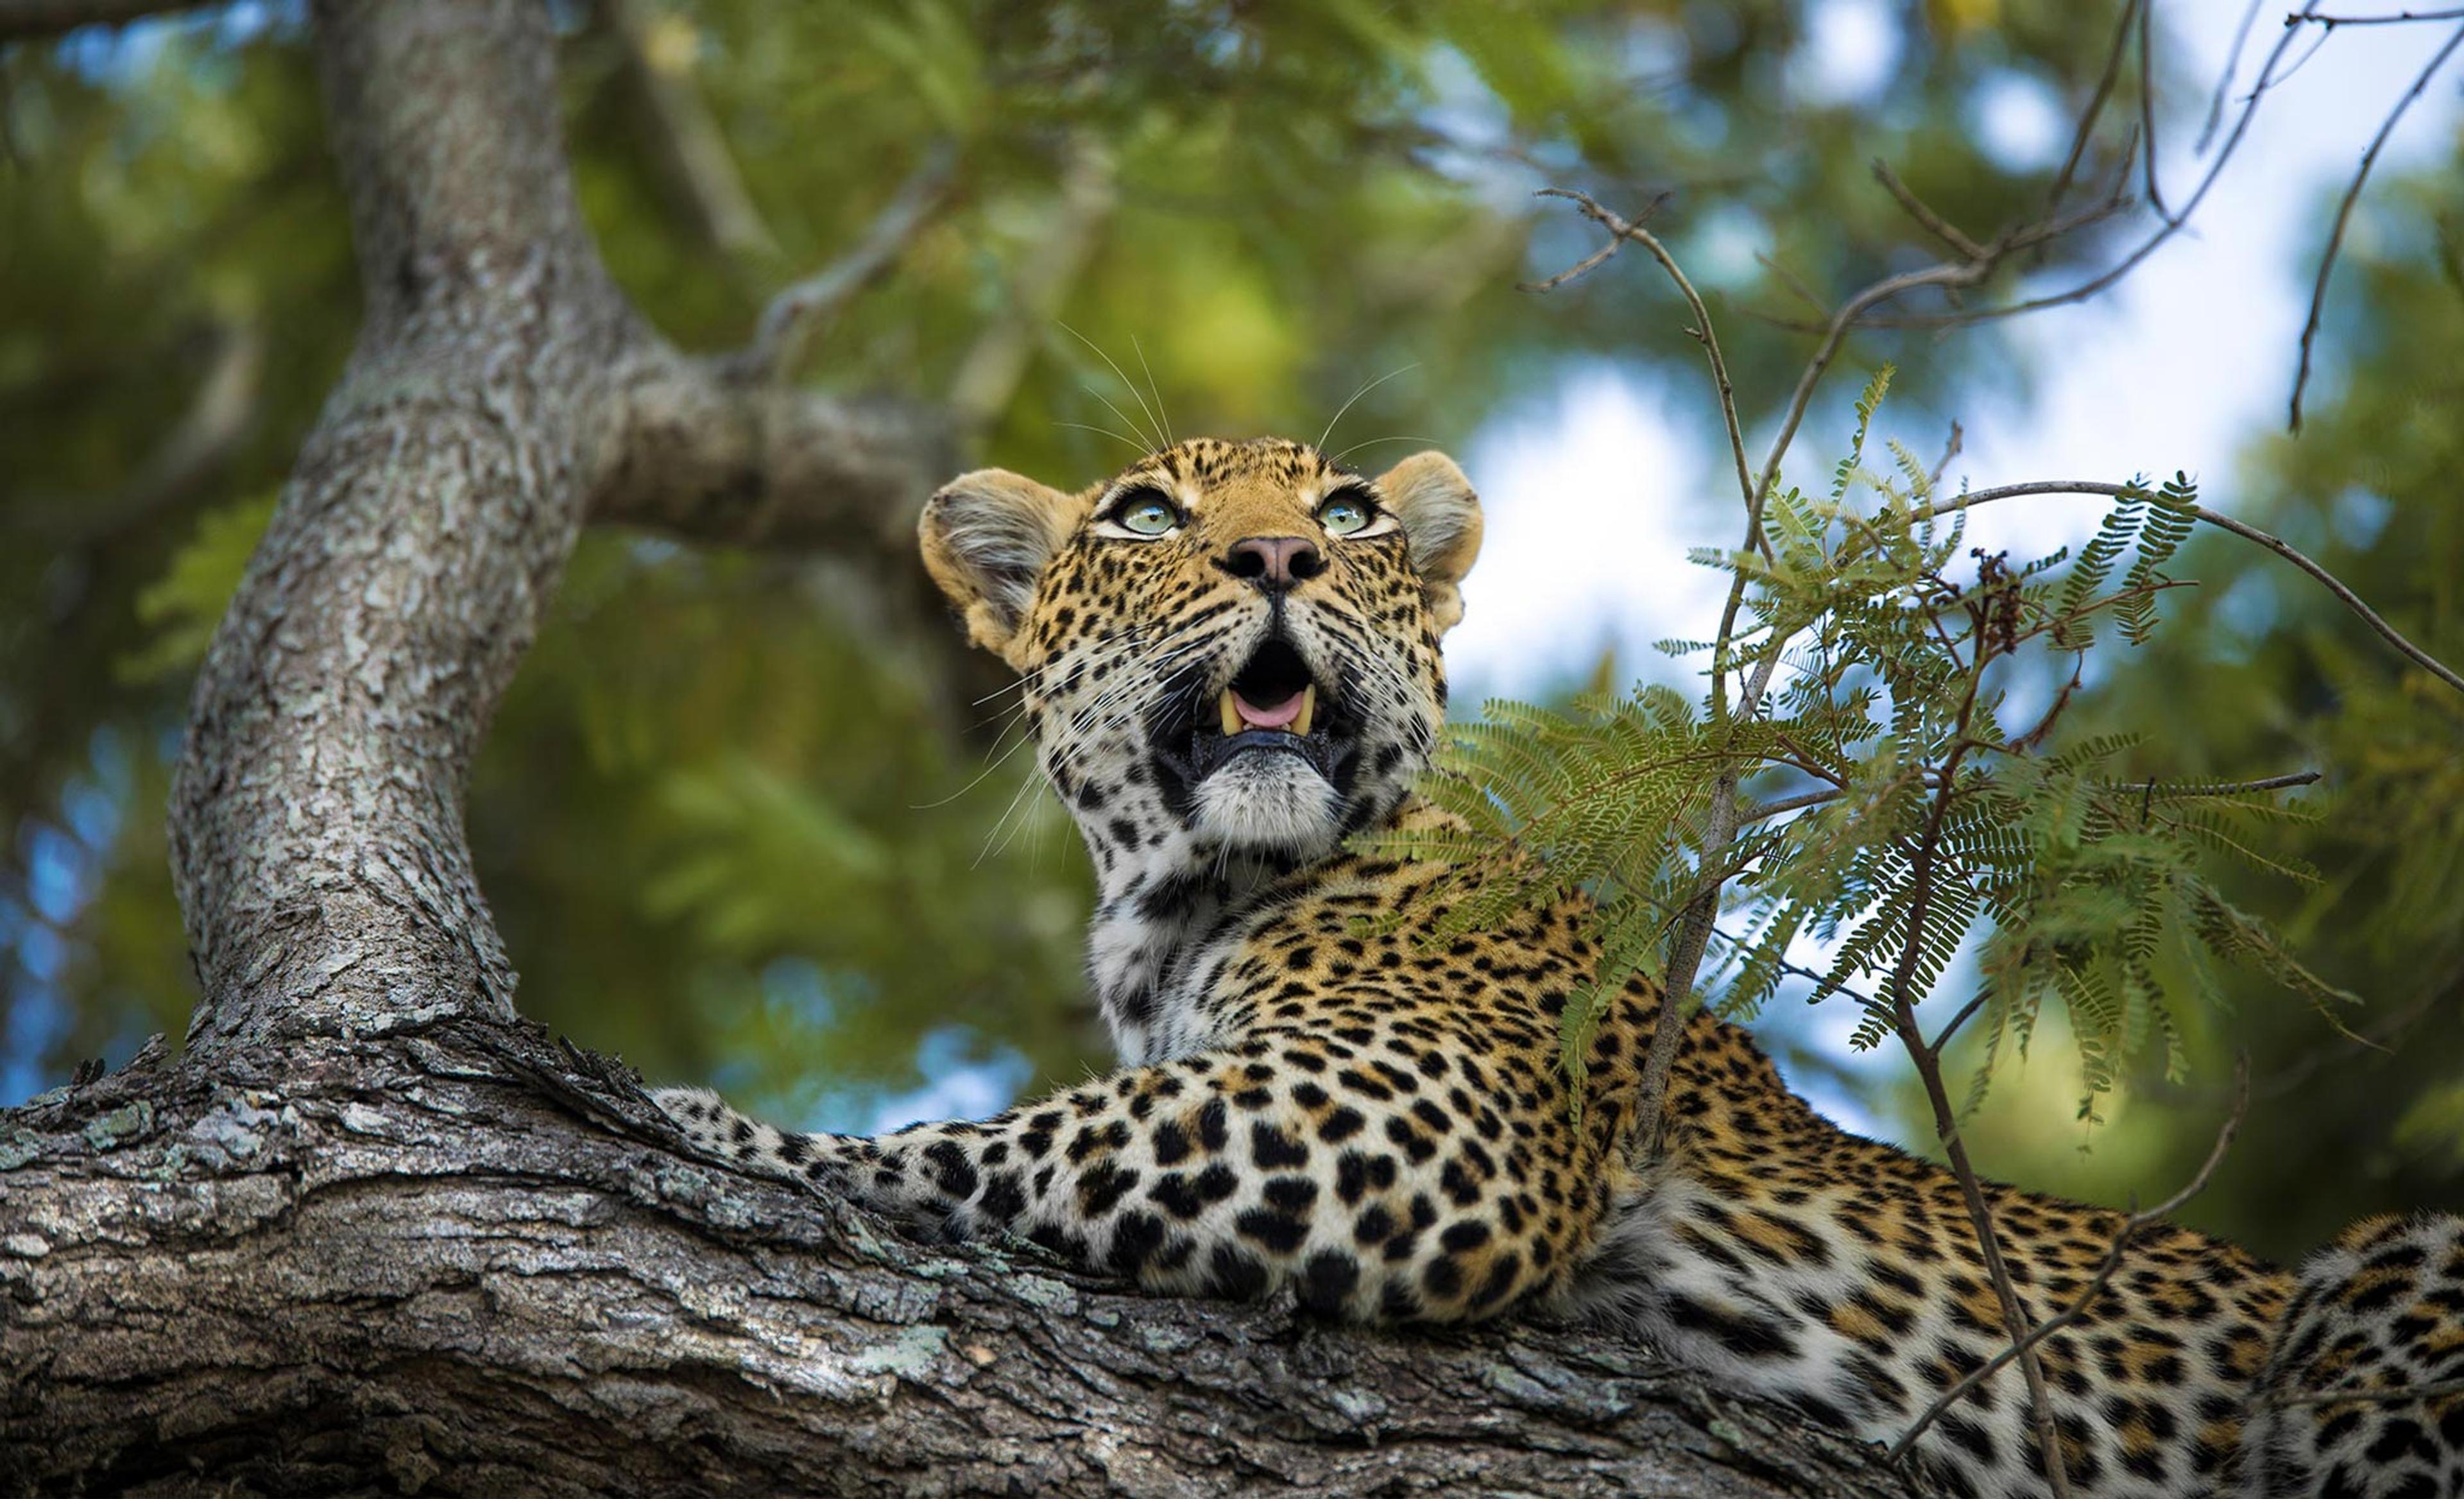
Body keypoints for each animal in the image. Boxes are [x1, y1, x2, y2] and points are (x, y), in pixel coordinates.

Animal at [655, 436, 2464, 1499]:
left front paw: (703, 1127)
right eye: (1150, 516)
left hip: (2389, 1279)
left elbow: (995, 1139)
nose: (1276, 562)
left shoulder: (1420, 1109)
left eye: (1345, 516)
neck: (1169, 905)